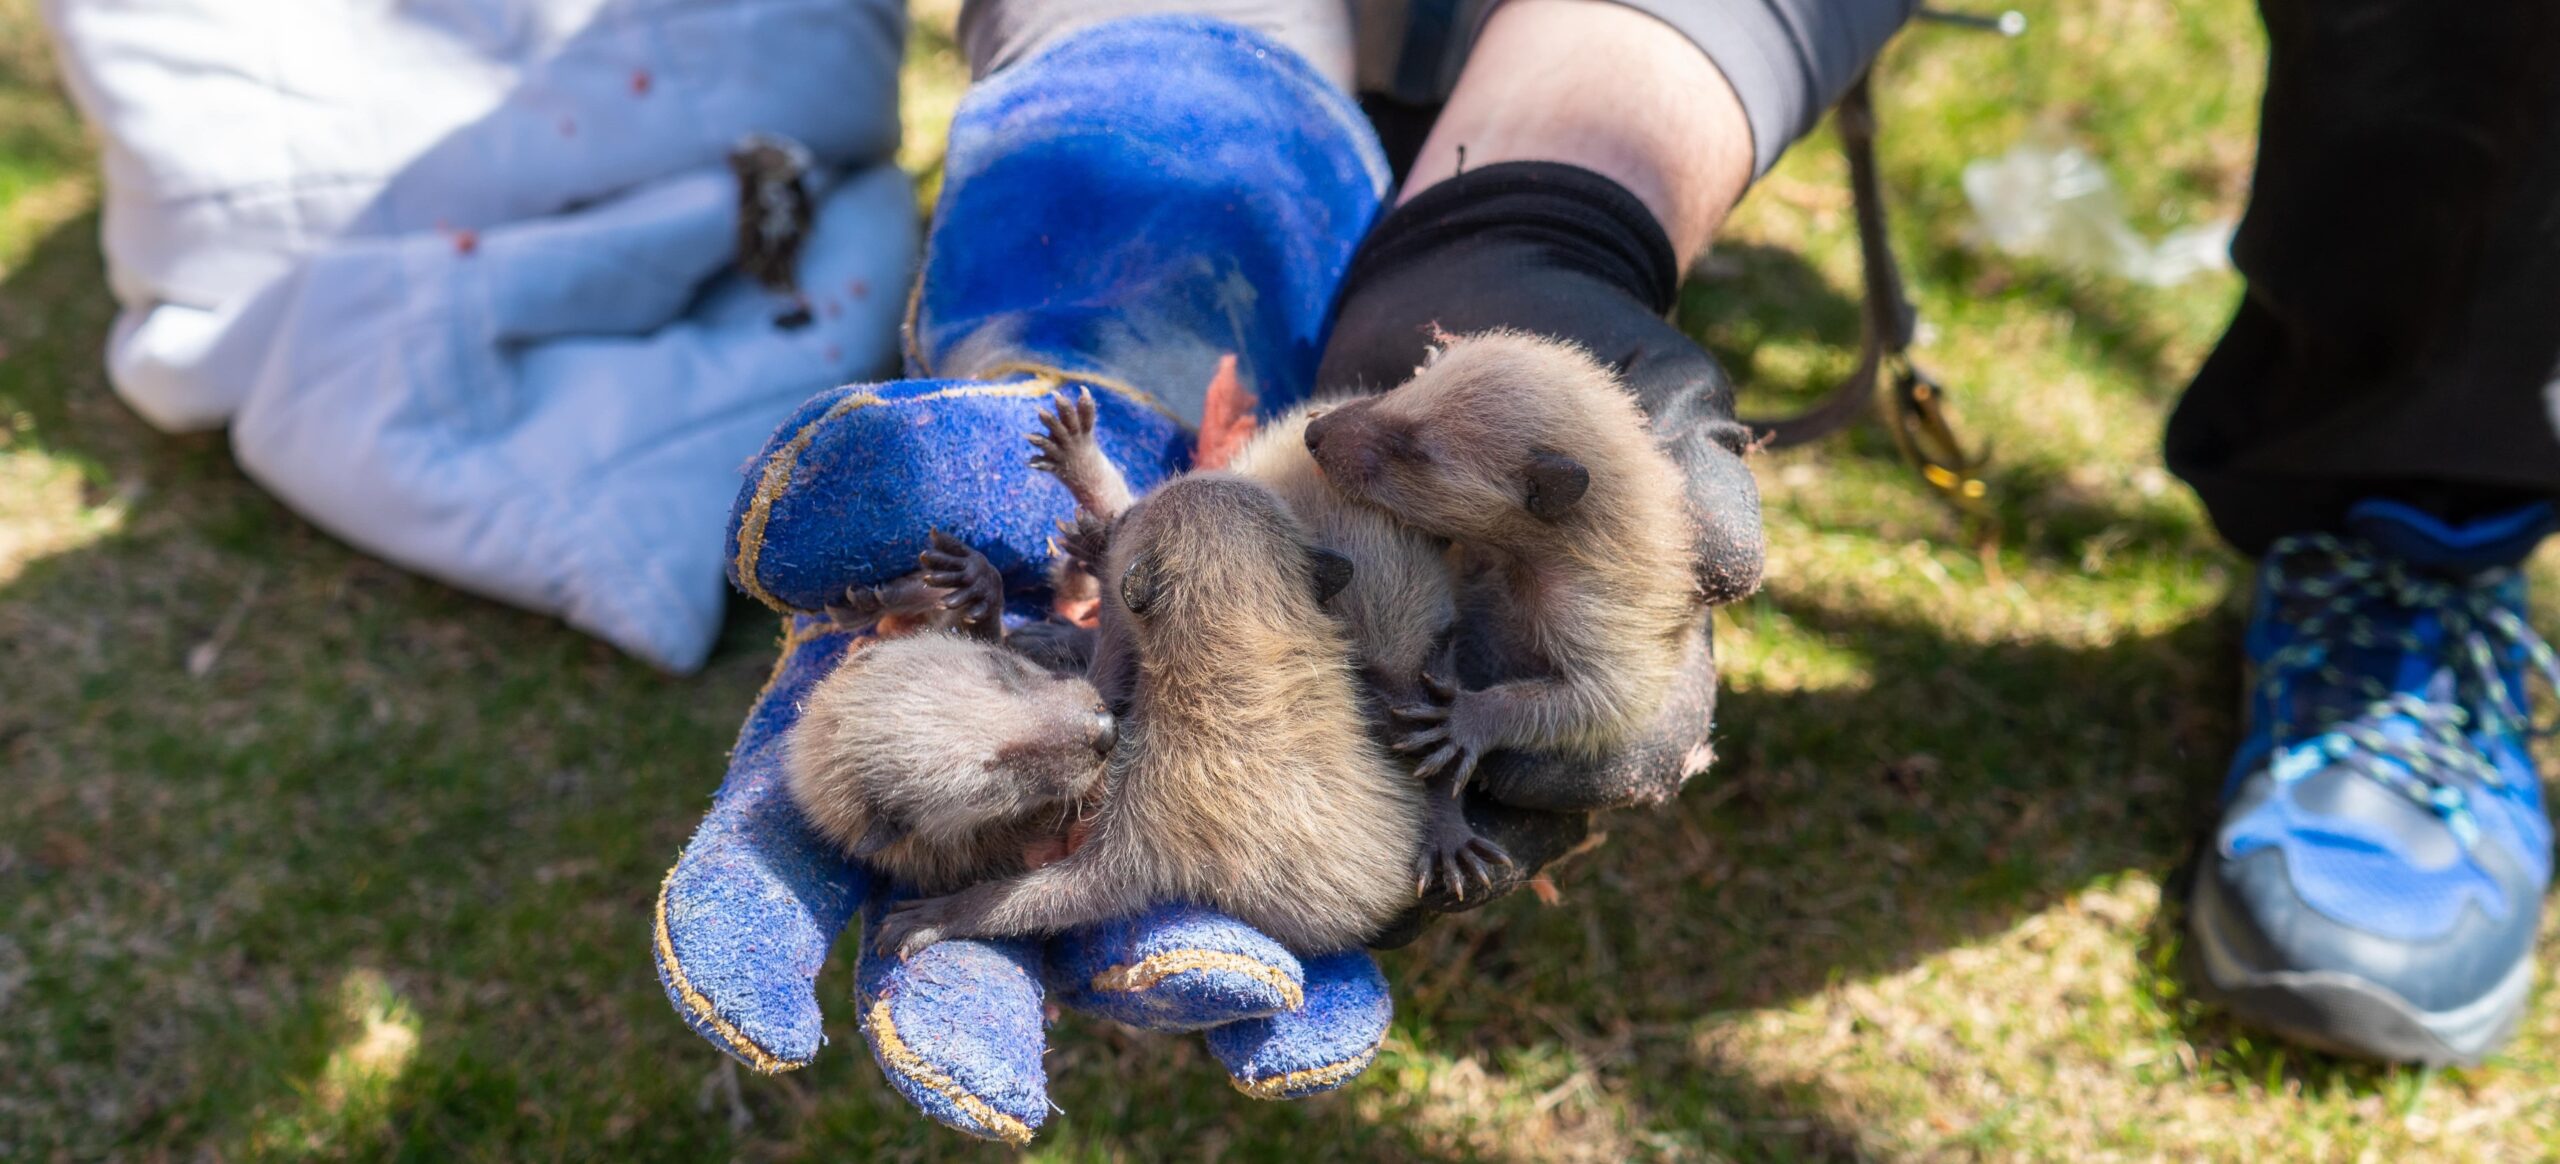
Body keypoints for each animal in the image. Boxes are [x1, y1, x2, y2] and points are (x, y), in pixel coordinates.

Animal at [875, 473, 1433, 956]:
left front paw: (942, 915)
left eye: (1131, 519)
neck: (1246, 643)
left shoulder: (1160, 796)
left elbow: (1078, 890)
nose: (1109, 524)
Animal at [1300, 332, 1699, 793]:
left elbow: (1611, 698)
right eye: (1399, 388)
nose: (1312, 433)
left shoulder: (1595, 603)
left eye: (1412, 449)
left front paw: (1465, 719)